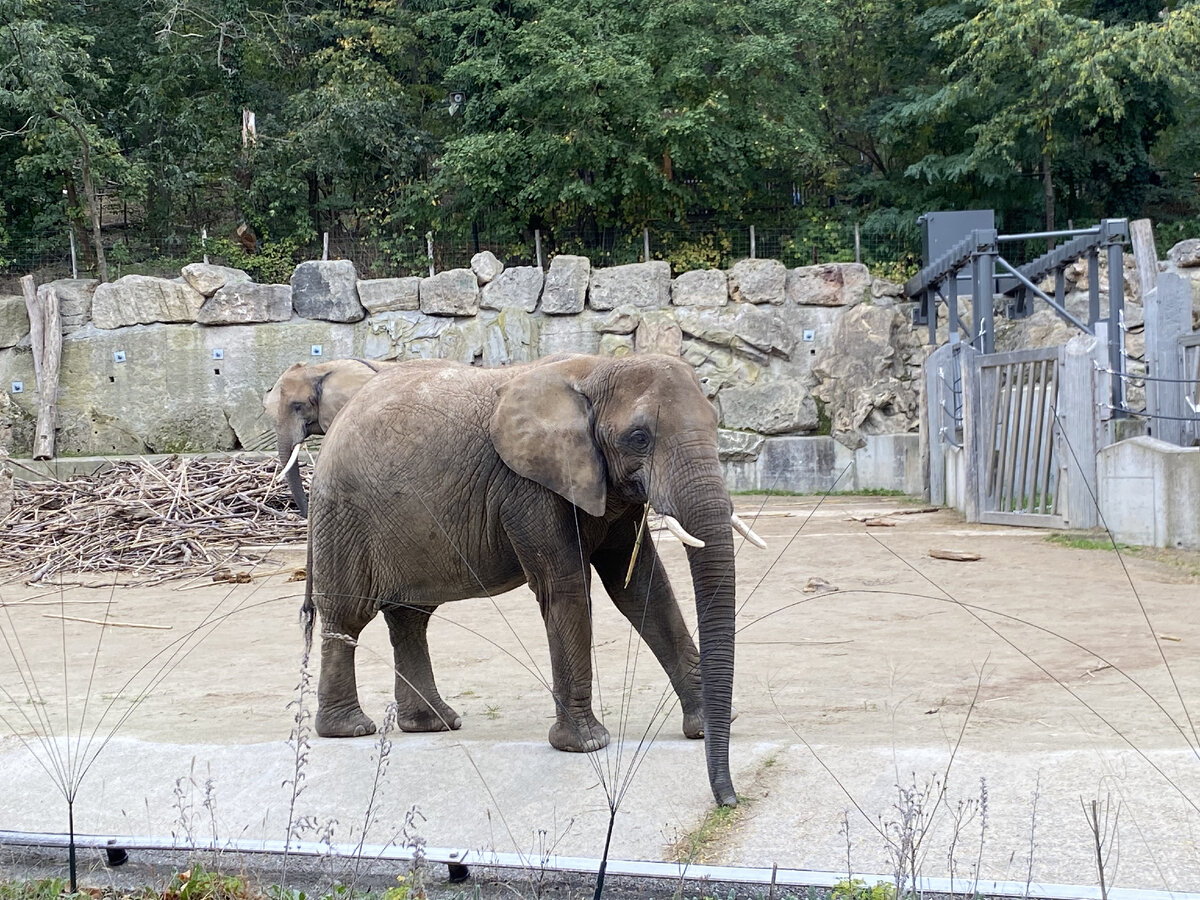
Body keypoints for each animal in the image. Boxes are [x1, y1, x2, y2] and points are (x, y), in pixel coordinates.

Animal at [304, 352, 763, 811]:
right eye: (639, 438)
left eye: (713, 423)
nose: (727, 799)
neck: (597, 370)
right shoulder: (527, 487)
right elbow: (566, 588)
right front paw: (587, 744)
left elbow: (641, 587)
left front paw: (707, 724)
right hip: (342, 514)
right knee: (347, 617)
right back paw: (350, 728)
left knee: (410, 618)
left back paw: (435, 723)